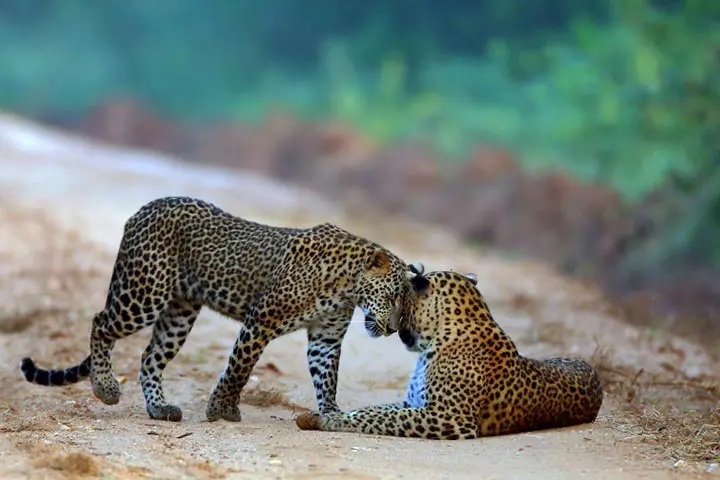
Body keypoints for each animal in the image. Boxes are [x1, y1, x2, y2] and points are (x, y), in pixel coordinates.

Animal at [19, 196, 422, 423]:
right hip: (143, 294)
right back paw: (105, 387)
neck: (346, 285)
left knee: (150, 357)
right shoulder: (262, 320)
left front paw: (333, 414)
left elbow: (327, 377)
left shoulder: (326, 337)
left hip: (179, 312)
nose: (392, 329)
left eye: (404, 299)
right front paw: (222, 410)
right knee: (100, 323)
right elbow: (239, 369)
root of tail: (142, 211)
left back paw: (159, 410)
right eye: (393, 295)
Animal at [296, 266, 604, 439]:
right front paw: (319, 415)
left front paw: (327, 419)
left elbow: (378, 418)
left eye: (397, 299)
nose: (391, 327)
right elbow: (374, 411)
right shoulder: (413, 403)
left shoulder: (449, 417)